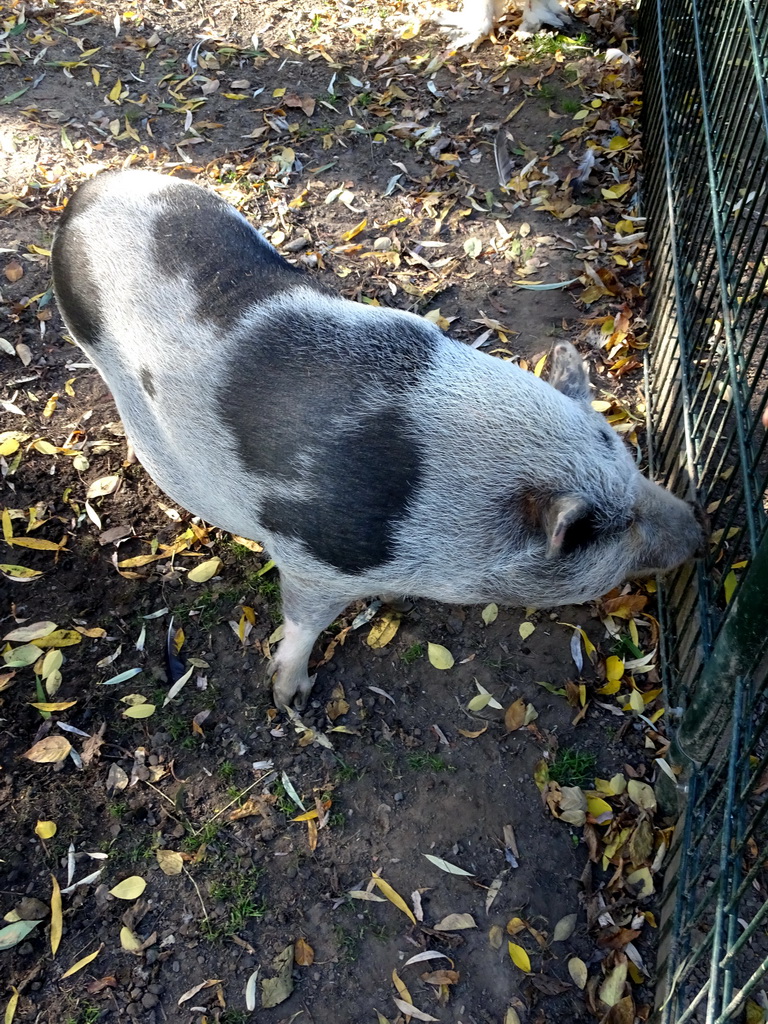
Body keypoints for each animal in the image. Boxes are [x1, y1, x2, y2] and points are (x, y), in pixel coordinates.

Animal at [51, 172, 708, 708]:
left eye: (632, 469)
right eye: (606, 529)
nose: (700, 529)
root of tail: (86, 194)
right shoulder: (313, 558)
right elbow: (302, 624)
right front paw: (291, 698)